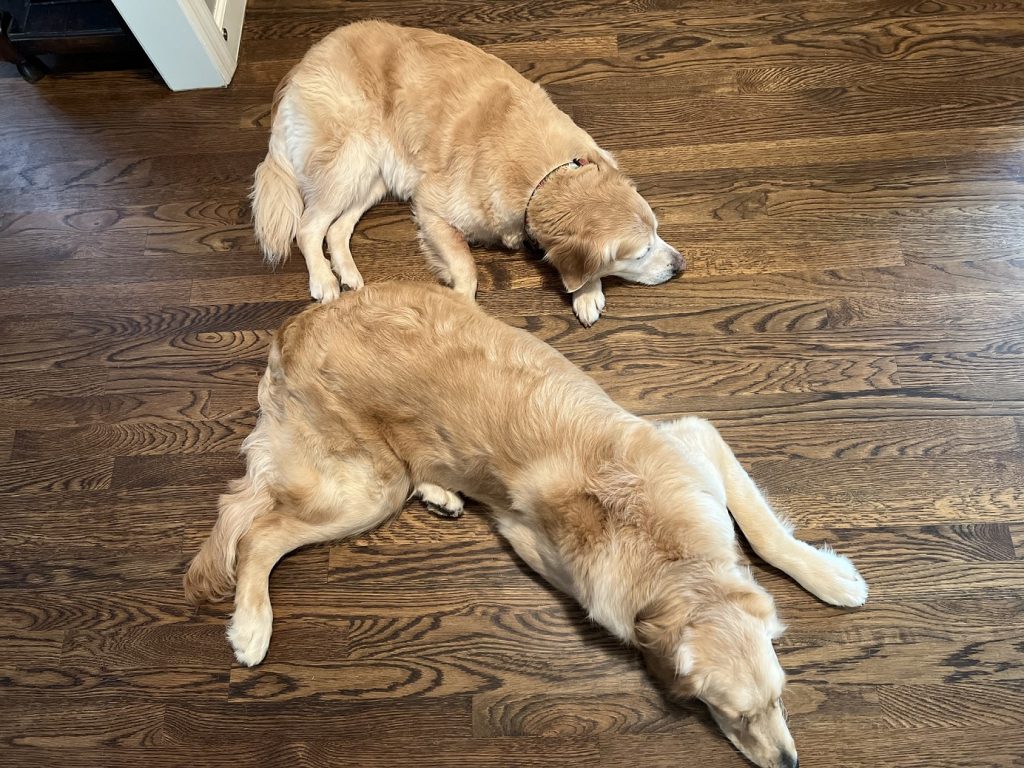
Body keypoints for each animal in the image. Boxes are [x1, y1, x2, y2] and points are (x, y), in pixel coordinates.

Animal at [182, 282, 864, 768]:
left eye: (781, 696)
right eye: (729, 712)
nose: (789, 763)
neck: (669, 553)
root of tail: (293, 327)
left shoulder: (695, 440)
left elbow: (764, 530)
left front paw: (830, 578)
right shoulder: (534, 538)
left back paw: (439, 489)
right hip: (365, 489)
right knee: (260, 532)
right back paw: (251, 627)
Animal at [248, 18, 684, 325]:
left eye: (658, 231)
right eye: (641, 252)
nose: (680, 265)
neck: (543, 177)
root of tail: (304, 62)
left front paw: (587, 292)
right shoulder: (432, 209)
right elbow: (467, 267)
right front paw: (460, 299)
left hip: (372, 175)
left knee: (336, 228)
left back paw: (348, 274)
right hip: (350, 160)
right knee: (308, 227)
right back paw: (324, 280)